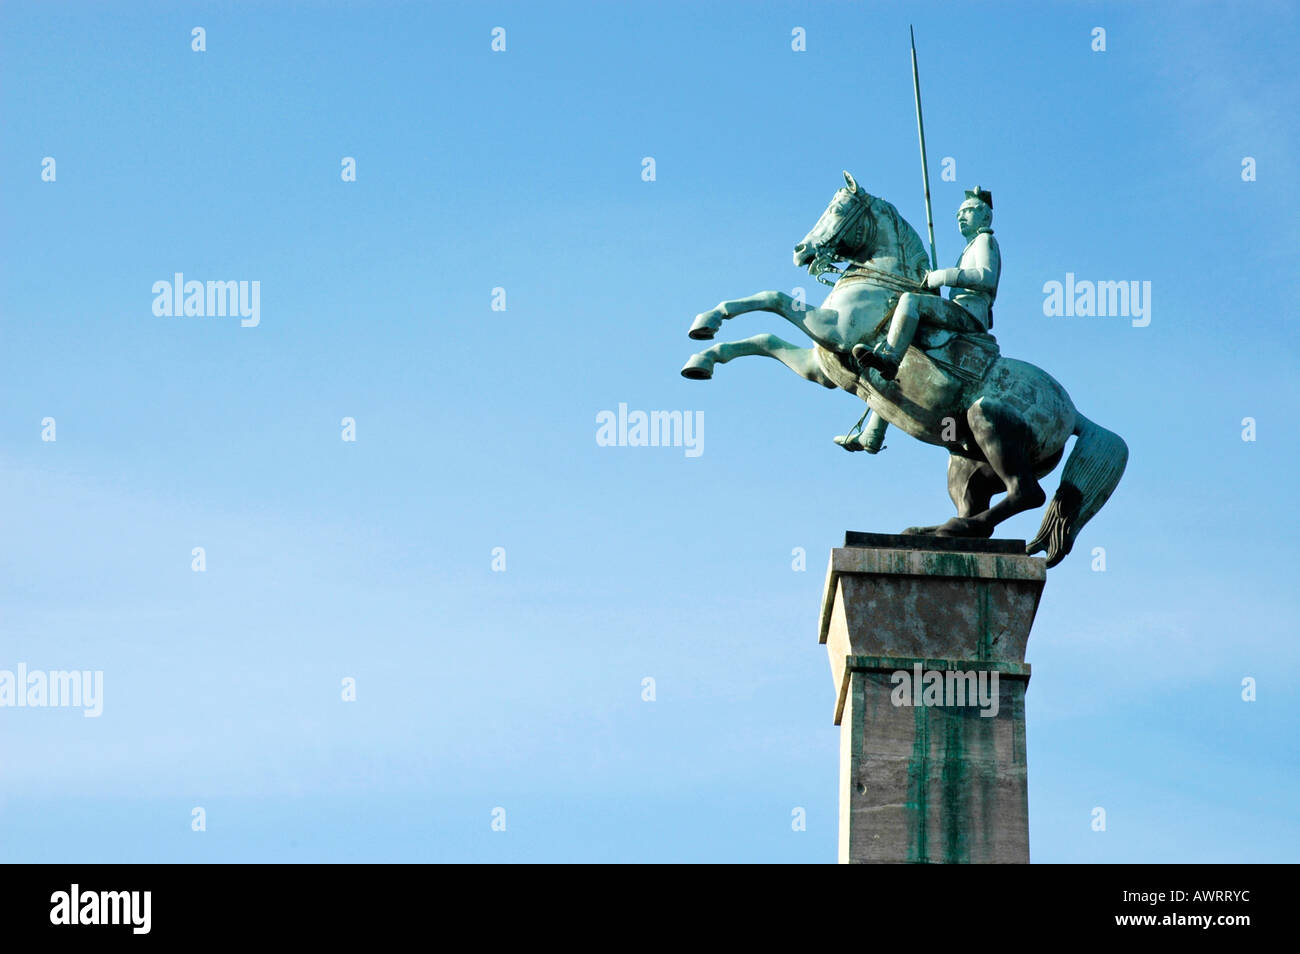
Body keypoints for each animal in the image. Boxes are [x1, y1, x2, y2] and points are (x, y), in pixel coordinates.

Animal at [681, 171, 1128, 566]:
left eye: (838, 208)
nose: (800, 250)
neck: (881, 282)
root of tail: (1075, 413)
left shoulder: (834, 331)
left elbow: (772, 297)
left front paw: (706, 322)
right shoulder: (820, 367)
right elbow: (763, 338)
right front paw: (701, 356)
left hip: (988, 421)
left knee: (1027, 494)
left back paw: (948, 529)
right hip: (968, 466)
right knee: (985, 507)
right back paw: (935, 530)